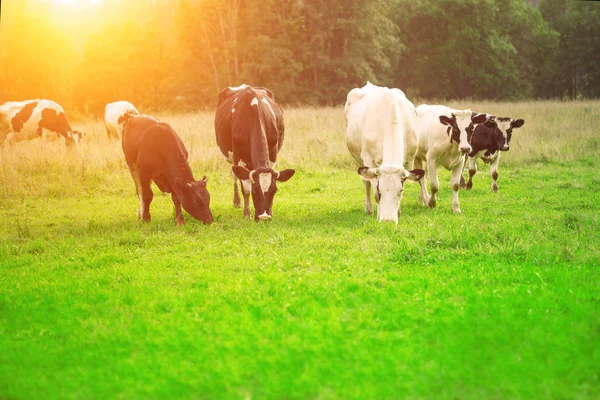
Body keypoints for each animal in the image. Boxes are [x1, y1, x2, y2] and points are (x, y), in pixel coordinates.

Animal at [213, 85, 296, 222]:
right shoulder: (238, 156)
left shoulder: (272, 154)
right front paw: (247, 214)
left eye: (274, 191)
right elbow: (245, 187)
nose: (264, 217)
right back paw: (237, 202)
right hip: (231, 158)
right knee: (234, 176)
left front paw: (270, 211)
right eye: (255, 190)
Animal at [344, 82, 424, 223]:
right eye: (380, 190)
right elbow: (374, 191)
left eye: (400, 190)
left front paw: (398, 212)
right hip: (358, 159)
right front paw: (378, 214)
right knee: (366, 182)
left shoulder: (409, 159)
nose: (388, 221)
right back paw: (369, 208)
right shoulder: (368, 158)